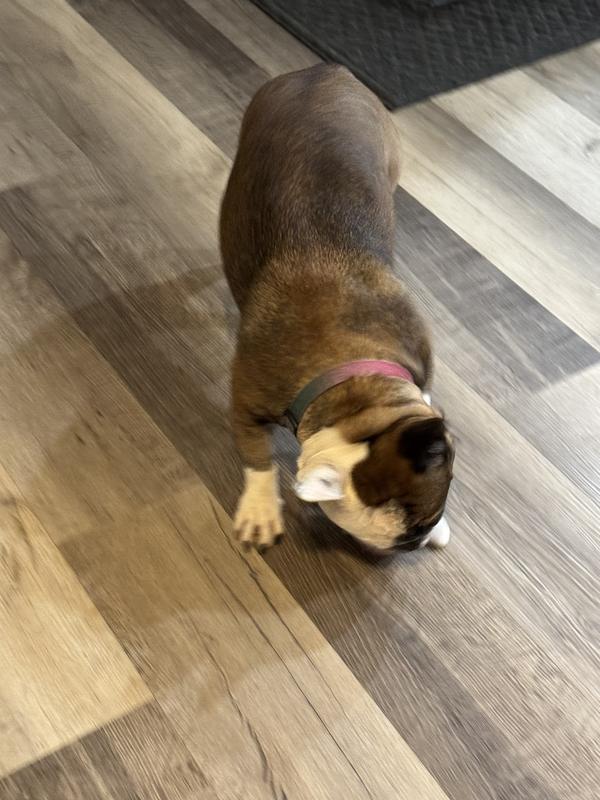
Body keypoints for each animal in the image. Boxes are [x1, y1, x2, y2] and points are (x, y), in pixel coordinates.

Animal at [220, 64, 454, 552]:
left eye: (426, 520)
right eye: (412, 532)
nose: (417, 540)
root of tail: (322, 71)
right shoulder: (244, 405)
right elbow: (256, 456)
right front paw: (260, 507)